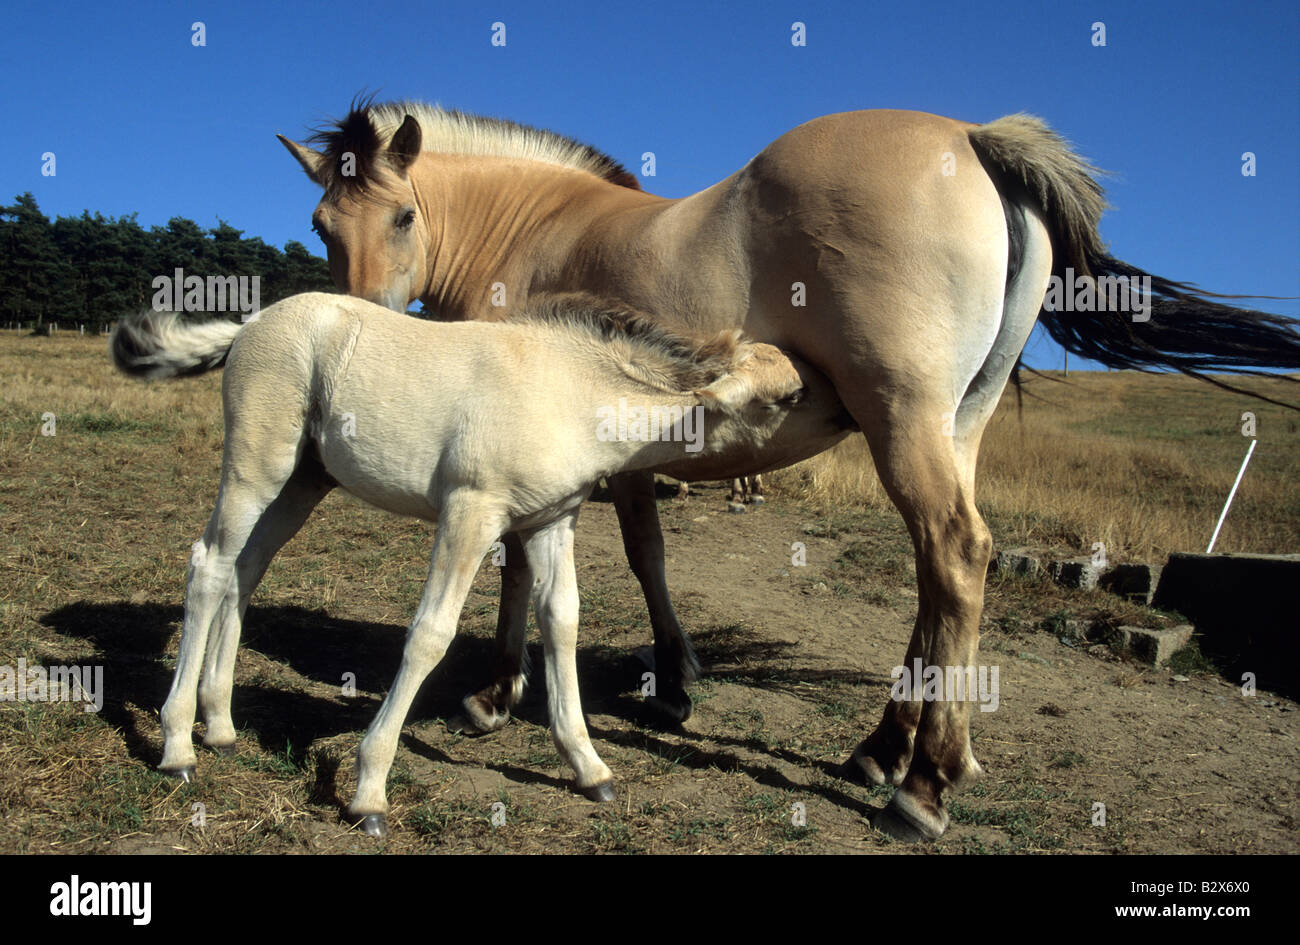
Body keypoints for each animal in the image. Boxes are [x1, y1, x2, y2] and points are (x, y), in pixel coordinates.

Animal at [111, 289, 852, 837]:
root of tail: (250, 324)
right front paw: (369, 791)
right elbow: (430, 635)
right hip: (257, 464)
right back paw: (177, 747)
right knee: (209, 566)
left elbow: (561, 623)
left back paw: (221, 726)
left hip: (304, 480)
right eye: (790, 396)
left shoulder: (553, 520)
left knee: (246, 570)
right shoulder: (470, 512)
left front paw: (589, 767)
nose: (850, 414)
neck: (570, 391)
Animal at [276, 101, 1300, 842]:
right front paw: (666, 681)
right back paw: (890, 749)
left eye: (403, 213)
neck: (533, 229)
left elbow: (553, 571)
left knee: (957, 555)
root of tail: (970, 139)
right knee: (938, 580)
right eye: (323, 222)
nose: (360, 321)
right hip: (952, 429)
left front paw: (505, 695)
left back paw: (924, 784)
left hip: (906, 425)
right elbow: (629, 559)